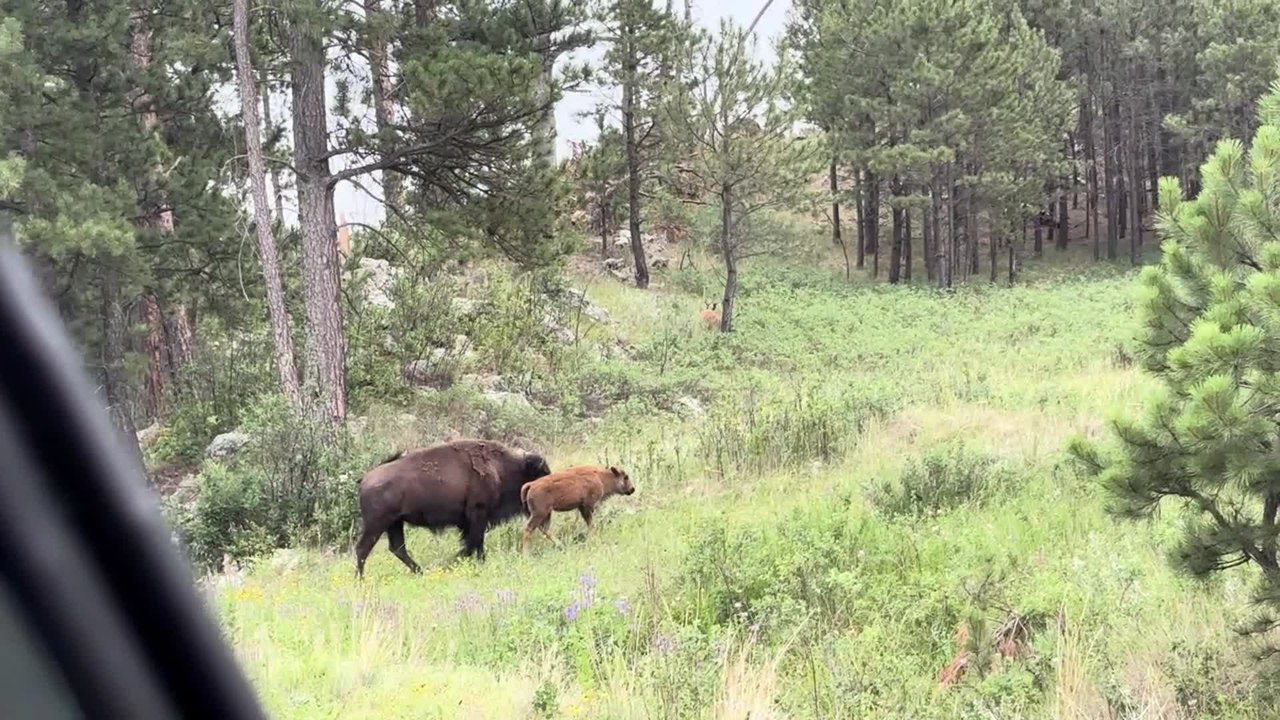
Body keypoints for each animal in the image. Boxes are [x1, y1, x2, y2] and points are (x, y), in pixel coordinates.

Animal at [354, 439, 552, 577]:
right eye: (541, 473)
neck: (501, 469)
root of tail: (364, 480)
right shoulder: (478, 515)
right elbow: (473, 543)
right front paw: (456, 562)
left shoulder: (472, 522)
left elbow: (475, 544)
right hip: (377, 525)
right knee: (363, 549)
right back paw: (360, 580)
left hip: (395, 523)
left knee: (397, 548)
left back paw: (420, 572)